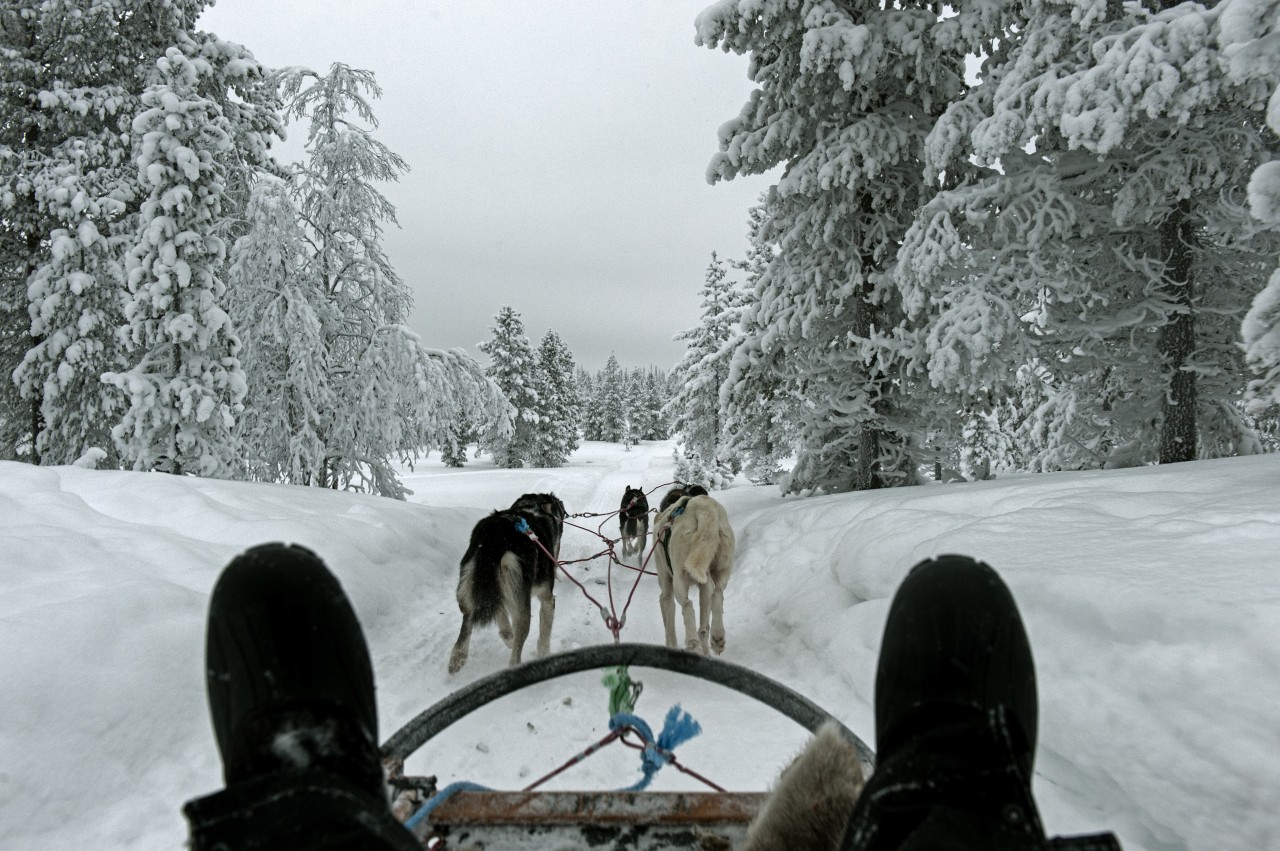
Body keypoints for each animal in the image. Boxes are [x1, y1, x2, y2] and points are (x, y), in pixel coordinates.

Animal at [453, 491, 568, 670]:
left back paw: (458, 657)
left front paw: (507, 634)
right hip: (522, 609)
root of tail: (497, 535)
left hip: (469, 588)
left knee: (468, 620)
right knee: (515, 654)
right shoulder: (547, 599)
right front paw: (544, 655)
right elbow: (544, 637)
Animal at [655, 483, 737, 655]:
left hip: (680, 578)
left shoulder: (666, 588)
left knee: (687, 605)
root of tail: (704, 508)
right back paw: (717, 637)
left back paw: (692, 642)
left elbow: (669, 625)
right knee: (716, 597)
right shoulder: (704, 584)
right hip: (720, 570)